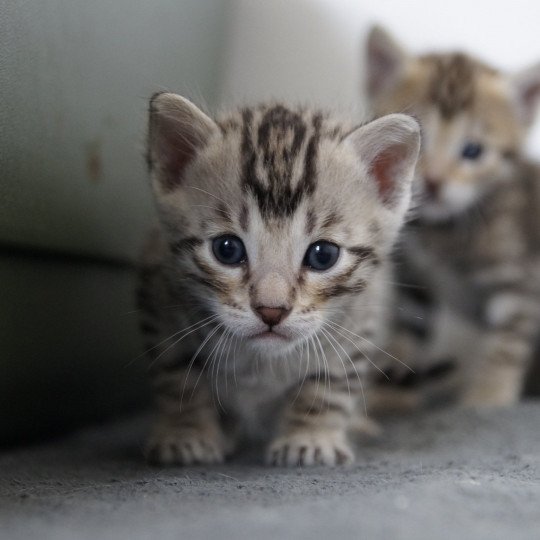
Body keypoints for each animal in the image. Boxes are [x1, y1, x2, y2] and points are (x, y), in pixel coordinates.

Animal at [139, 93, 422, 464]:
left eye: (323, 255)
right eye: (226, 249)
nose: (271, 311)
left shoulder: (361, 319)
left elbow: (331, 381)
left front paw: (310, 437)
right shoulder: (160, 300)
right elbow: (176, 376)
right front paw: (186, 433)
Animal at [362, 25, 540, 404]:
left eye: (473, 151)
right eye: (420, 139)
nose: (434, 182)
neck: (442, 233)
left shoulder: (521, 281)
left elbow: (507, 342)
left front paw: (488, 397)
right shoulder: (415, 276)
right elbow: (409, 326)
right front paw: (393, 378)